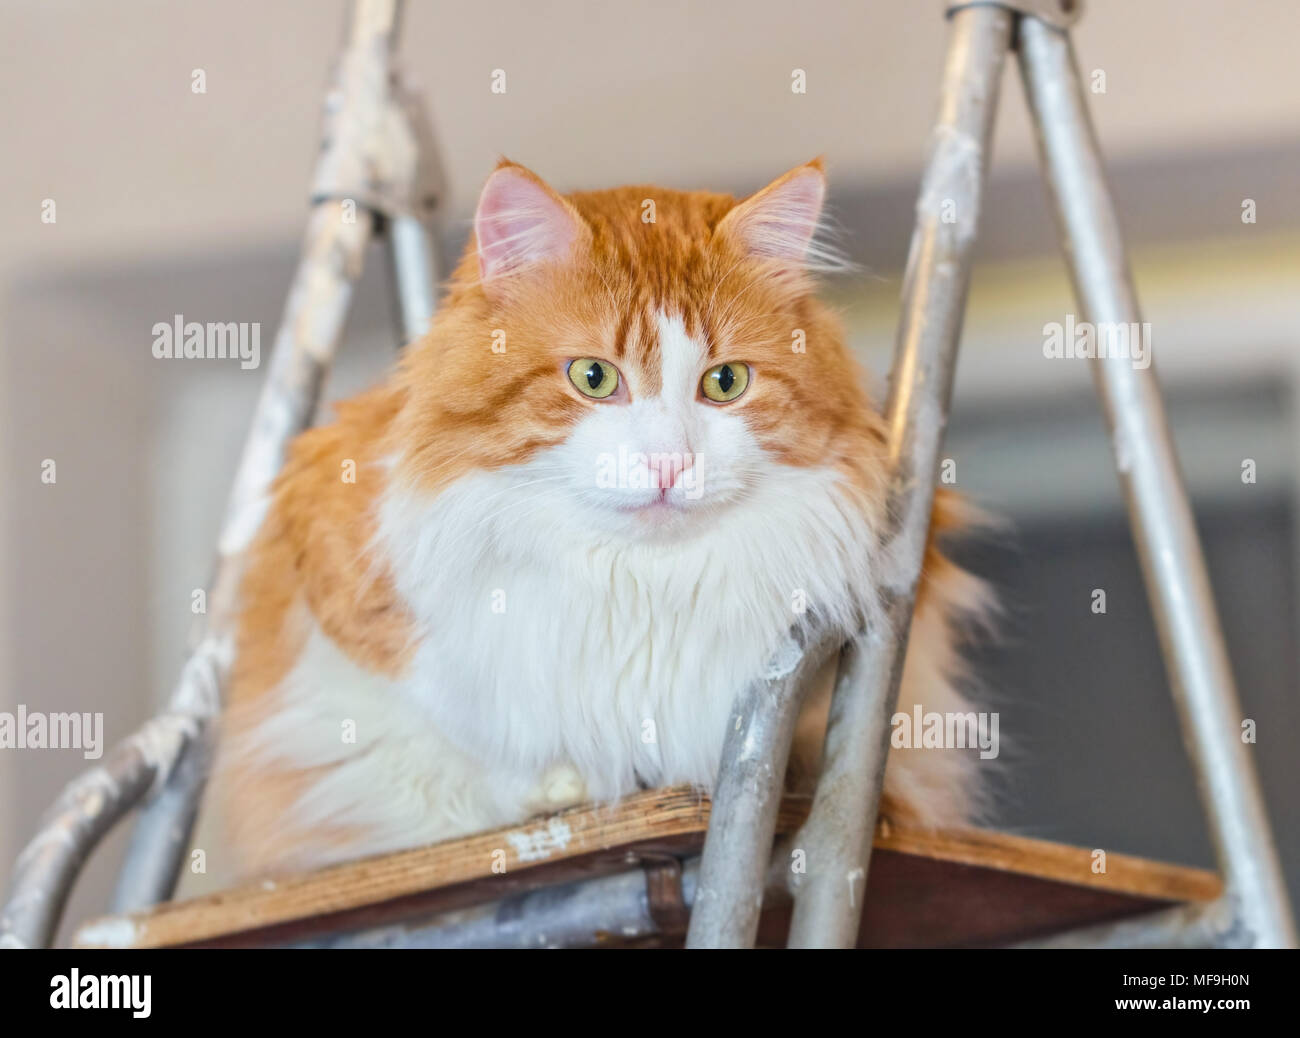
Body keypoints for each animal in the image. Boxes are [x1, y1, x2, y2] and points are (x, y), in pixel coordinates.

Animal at [208, 160, 987, 879]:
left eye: (725, 383)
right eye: (593, 377)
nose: (671, 463)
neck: (637, 585)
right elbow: (454, 747)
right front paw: (560, 783)